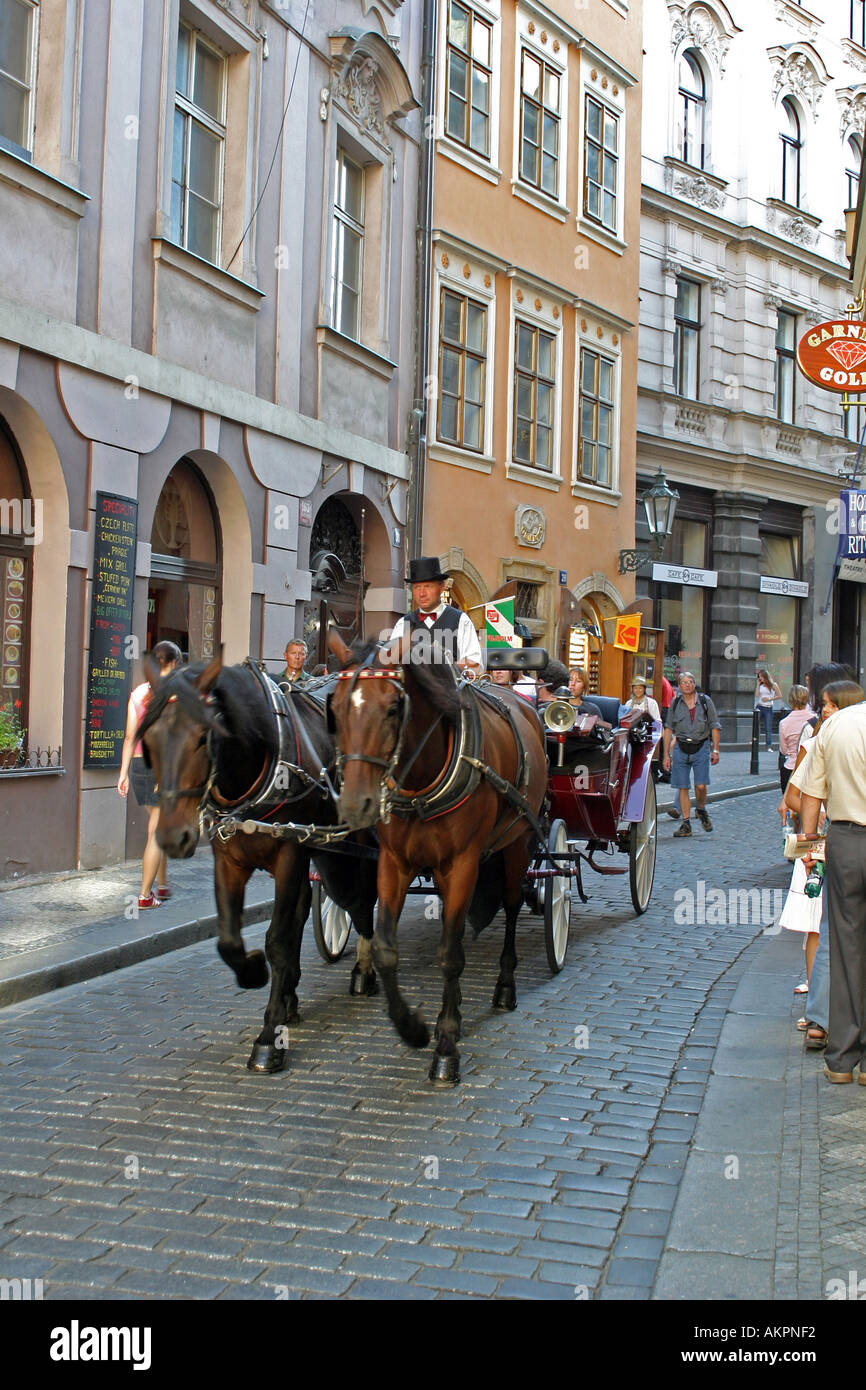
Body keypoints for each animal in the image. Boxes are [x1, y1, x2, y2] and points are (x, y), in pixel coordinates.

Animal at [136, 653, 378, 1073]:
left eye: (204, 736)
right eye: (148, 740)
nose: (170, 837)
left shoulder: (289, 854)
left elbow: (278, 939)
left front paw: (268, 1040)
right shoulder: (228, 857)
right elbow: (230, 941)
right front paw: (254, 971)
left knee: (362, 900)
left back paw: (362, 971)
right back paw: (292, 996)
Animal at [328, 633, 544, 1084]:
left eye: (393, 708)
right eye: (334, 708)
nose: (356, 804)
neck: (419, 781)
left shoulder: (462, 864)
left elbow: (450, 955)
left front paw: (445, 1046)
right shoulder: (393, 863)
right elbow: (386, 949)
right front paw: (411, 1027)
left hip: (517, 842)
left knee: (512, 905)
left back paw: (504, 987)